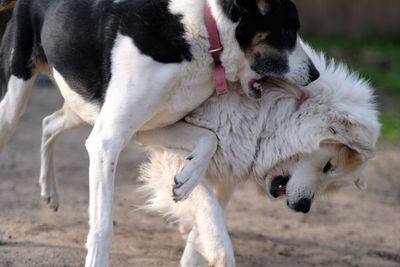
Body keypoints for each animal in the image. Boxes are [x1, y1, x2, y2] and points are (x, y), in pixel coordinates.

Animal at [0, 0, 318, 266]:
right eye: (287, 31)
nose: (315, 74)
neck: (202, 38)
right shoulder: (107, 142)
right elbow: (102, 226)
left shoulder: (150, 129)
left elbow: (210, 139)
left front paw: (187, 180)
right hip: (13, 104)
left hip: (84, 107)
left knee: (48, 123)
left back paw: (49, 191)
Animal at [138, 44, 382, 267]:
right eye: (328, 165)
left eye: (333, 184)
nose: (303, 207)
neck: (270, 112)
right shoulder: (168, 148)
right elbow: (206, 201)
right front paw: (221, 252)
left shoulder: (231, 163)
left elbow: (211, 210)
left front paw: (198, 253)